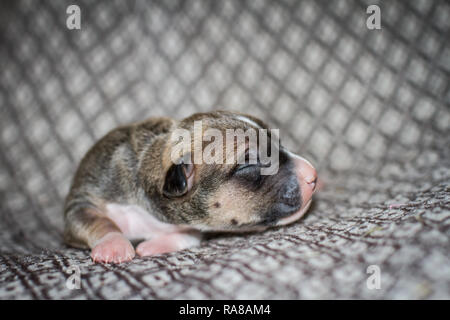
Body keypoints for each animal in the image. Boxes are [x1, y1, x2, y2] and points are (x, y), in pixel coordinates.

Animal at [63, 110, 318, 262]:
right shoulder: (85, 196)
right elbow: (93, 219)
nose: (313, 175)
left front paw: (155, 245)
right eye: (249, 164)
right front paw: (113, 245)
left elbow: (189, 233)